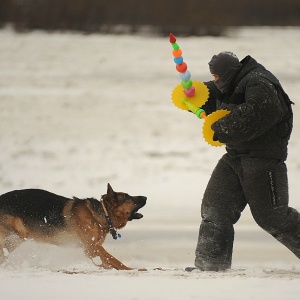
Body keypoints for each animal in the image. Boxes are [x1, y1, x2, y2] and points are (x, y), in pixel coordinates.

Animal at [0, 183, 146, 270]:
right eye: (128, 197)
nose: (145, 197)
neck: (103, 214)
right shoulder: (92, 247)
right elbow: (113, 259)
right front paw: (131, 269)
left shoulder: (93, 248)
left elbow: (107, 260)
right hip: (18, 232)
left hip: (15, 240)